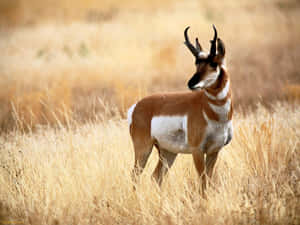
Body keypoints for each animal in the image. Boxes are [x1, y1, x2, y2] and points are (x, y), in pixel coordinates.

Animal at [127, 25, 233, 188]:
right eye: (196, 63)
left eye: (214, 63)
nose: (191, 83)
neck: (214, 114)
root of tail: (136, 107)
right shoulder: (197, 151)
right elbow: (202, 182)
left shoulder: (214, 151)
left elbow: (208, 182)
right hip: (143, 149)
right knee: (135, 176)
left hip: (168, 152)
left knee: (156, 177)